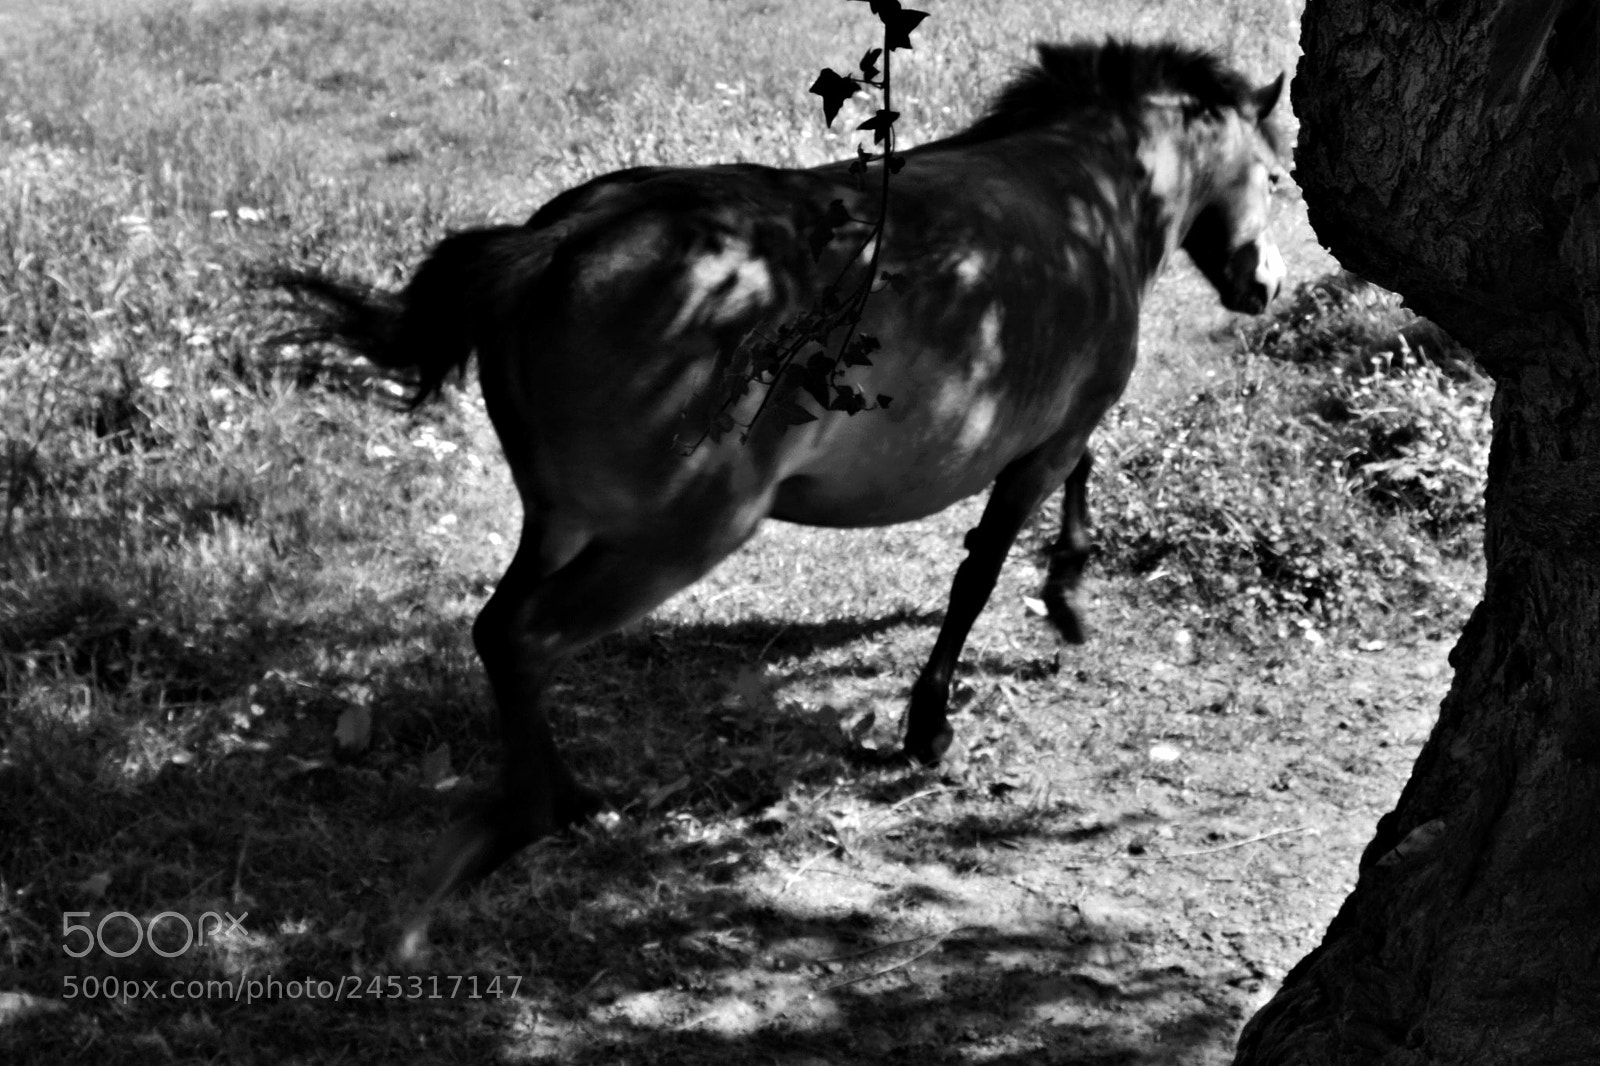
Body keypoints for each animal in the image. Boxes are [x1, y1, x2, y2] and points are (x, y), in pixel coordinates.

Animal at [276, 38, 1286, 909]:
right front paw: (935, 719)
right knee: (528, 637)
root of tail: (554, 244)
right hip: (673, 538)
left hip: (562, 520)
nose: (1265, 286)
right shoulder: (1048, 438)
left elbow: (1076, 482)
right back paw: (538, 815)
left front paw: (1069, 598)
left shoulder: (1057, 435)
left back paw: (565, 791)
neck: (1084, 190)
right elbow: (983, 568)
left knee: (498, 631)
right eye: (1278, 175)